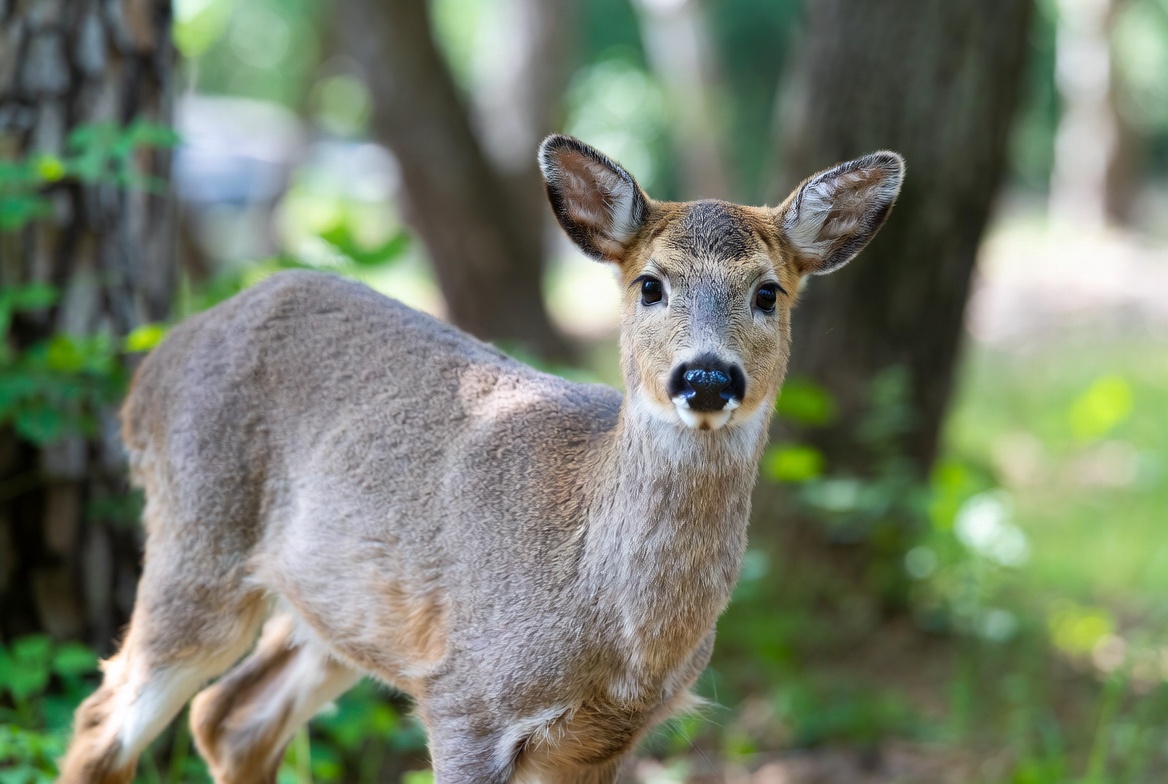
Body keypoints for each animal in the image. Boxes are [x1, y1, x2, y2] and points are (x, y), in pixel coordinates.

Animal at [57, 134, 903, 784]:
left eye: (768, 292)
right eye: (649, 285)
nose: (706, 377)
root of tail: (150, 370)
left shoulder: (602, 740)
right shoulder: (467, 699)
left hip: (341, 608)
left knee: (229, 716)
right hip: (197, 539)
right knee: (103, 719)